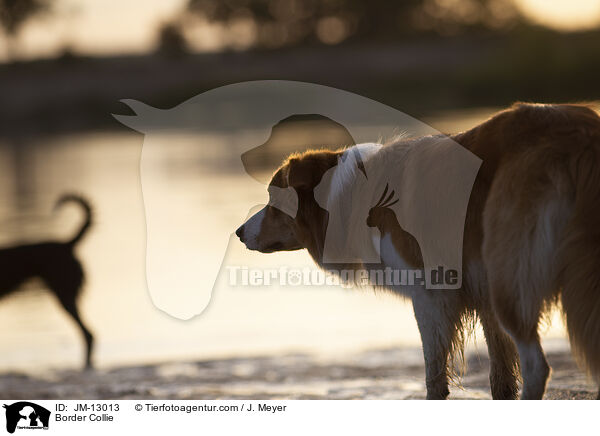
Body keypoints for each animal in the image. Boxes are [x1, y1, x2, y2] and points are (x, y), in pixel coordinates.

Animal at [237, 104, 600, 400]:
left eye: (273, 200)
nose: (239, 233)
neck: (354, 196)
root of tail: (578, 135)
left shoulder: (431, 294)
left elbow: (434, 378)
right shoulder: (482, 298)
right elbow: (501, 381)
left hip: (510, 281)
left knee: (538, 366)